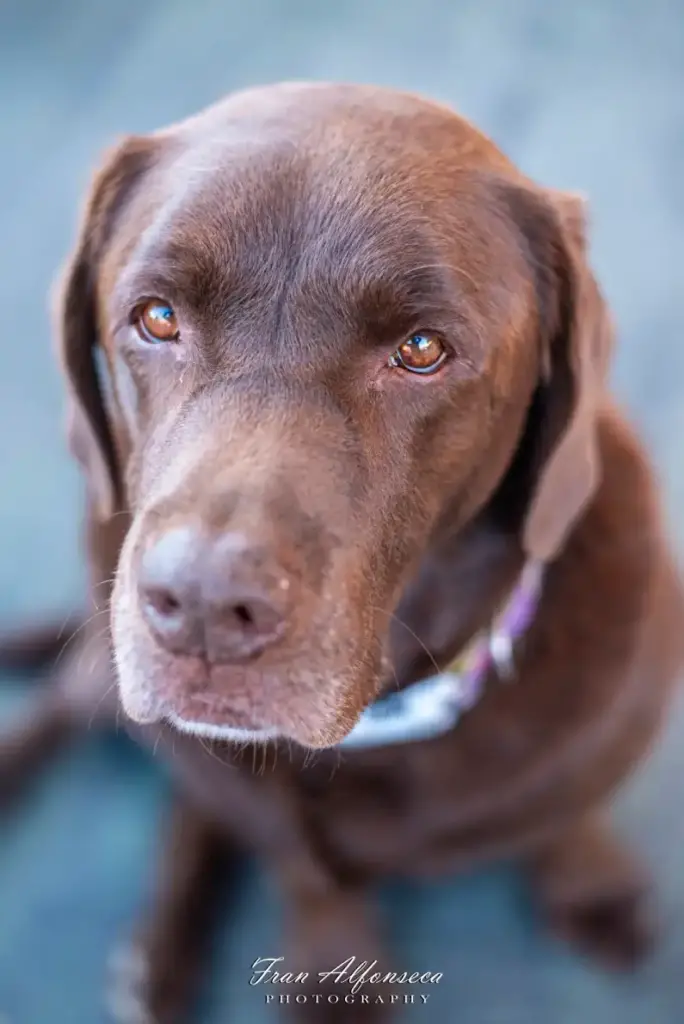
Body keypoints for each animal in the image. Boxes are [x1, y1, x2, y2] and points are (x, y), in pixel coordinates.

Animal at [1, 83, 684, 1019]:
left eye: (422, 350)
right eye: (157, 319)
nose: (204, 604)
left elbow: (567, 812)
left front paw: (591, 886)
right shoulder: (281, 830)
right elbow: (311, 874)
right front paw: (335, 974)